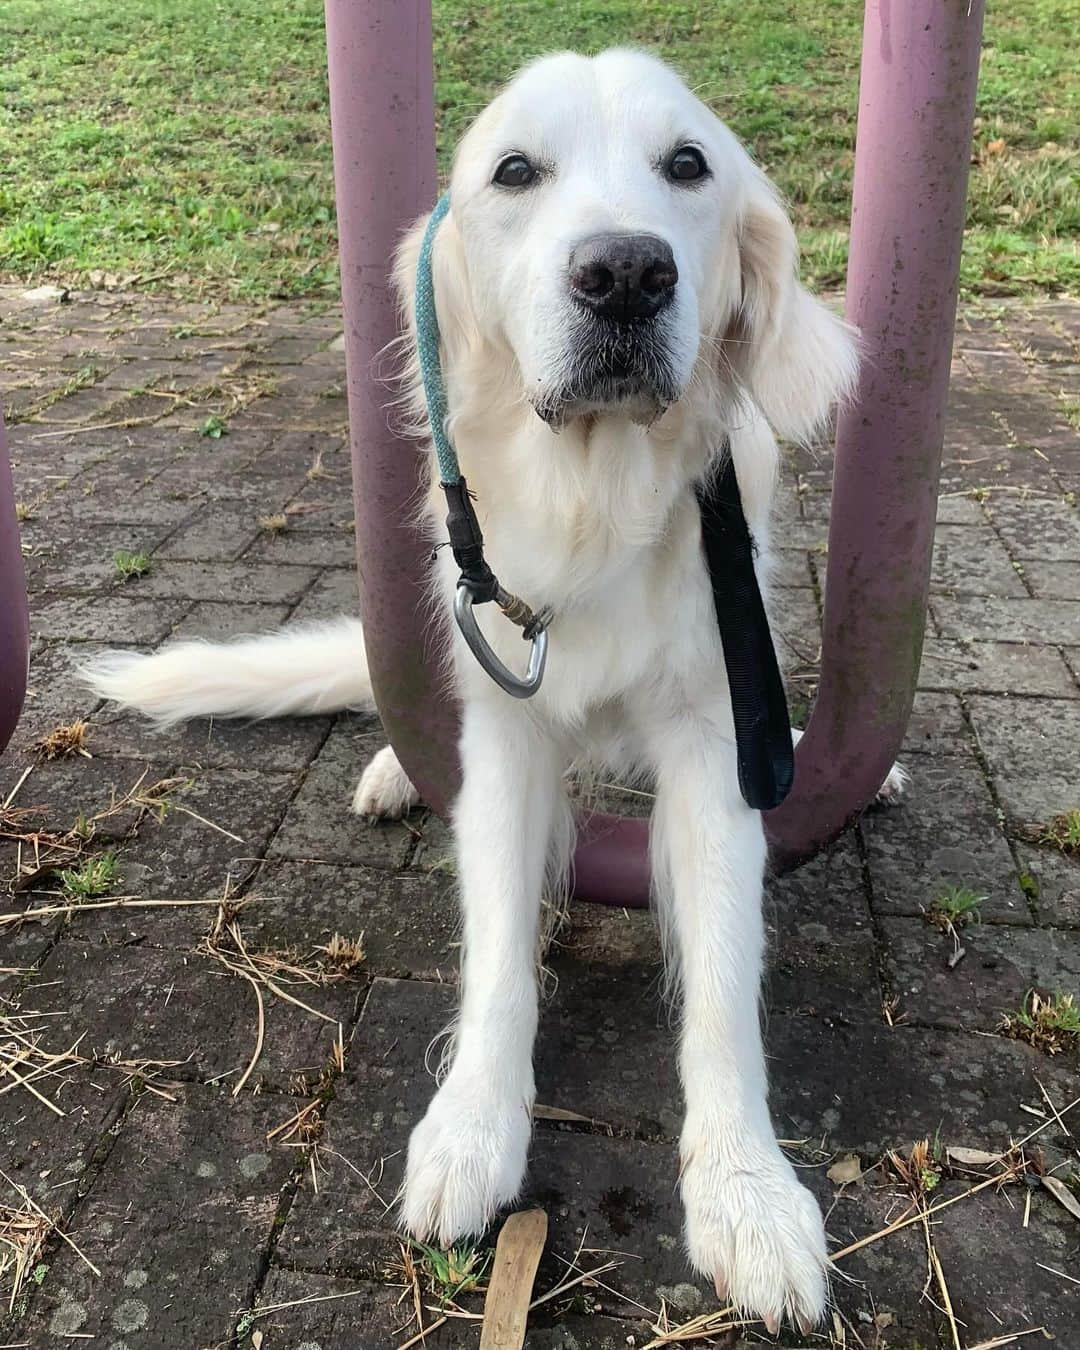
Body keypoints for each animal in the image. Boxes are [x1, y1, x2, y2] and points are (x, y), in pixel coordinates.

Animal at [86, 49, 901, 1328]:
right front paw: (473, 1129)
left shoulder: (718, 741)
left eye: (688, 166)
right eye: (516, 172)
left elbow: (725, 984)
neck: (596, 499)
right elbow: (498, 956)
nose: (626, 274)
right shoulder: (509, 738)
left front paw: (748, 1194)